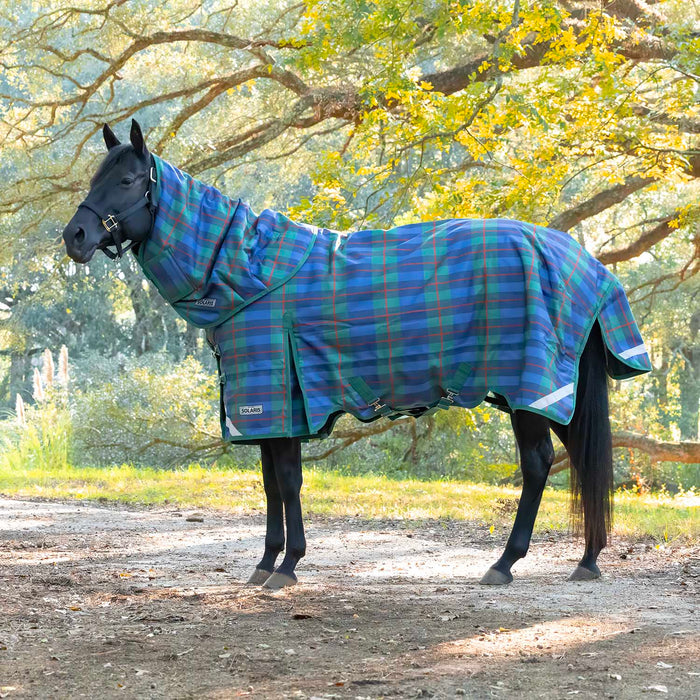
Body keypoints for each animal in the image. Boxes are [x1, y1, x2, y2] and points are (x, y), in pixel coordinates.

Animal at [62, 120, 651, 589]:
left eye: (126, 181)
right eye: (95, 179)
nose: (76, 236)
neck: (247, 272)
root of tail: (584, 262)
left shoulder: (279, 402)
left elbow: (288, 481)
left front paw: (288, 566)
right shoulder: (267, 411)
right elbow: (270, 483)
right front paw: (265, 562)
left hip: (531, 391)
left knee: (539, 464)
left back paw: (505, 563)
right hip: (542, 394)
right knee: (581, 457)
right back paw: (587, 560)